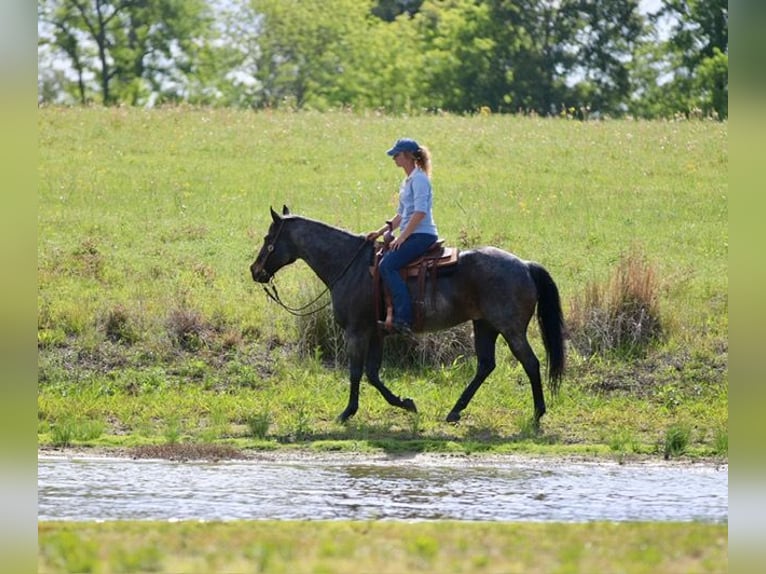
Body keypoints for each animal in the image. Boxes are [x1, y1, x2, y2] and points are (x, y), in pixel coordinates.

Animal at [250, 206, 566, 425]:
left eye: (268, 237)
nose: (255, 271)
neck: (350, 266)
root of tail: (525, 265)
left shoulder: (357, 331)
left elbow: (356, 372)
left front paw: (347, 412)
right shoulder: (376, 332)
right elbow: (372, 374)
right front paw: (406, 403)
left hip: (510, 328)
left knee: (531, 363)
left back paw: (537, 413)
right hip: (484, 325)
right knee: (486, 365)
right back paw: (455, 411)